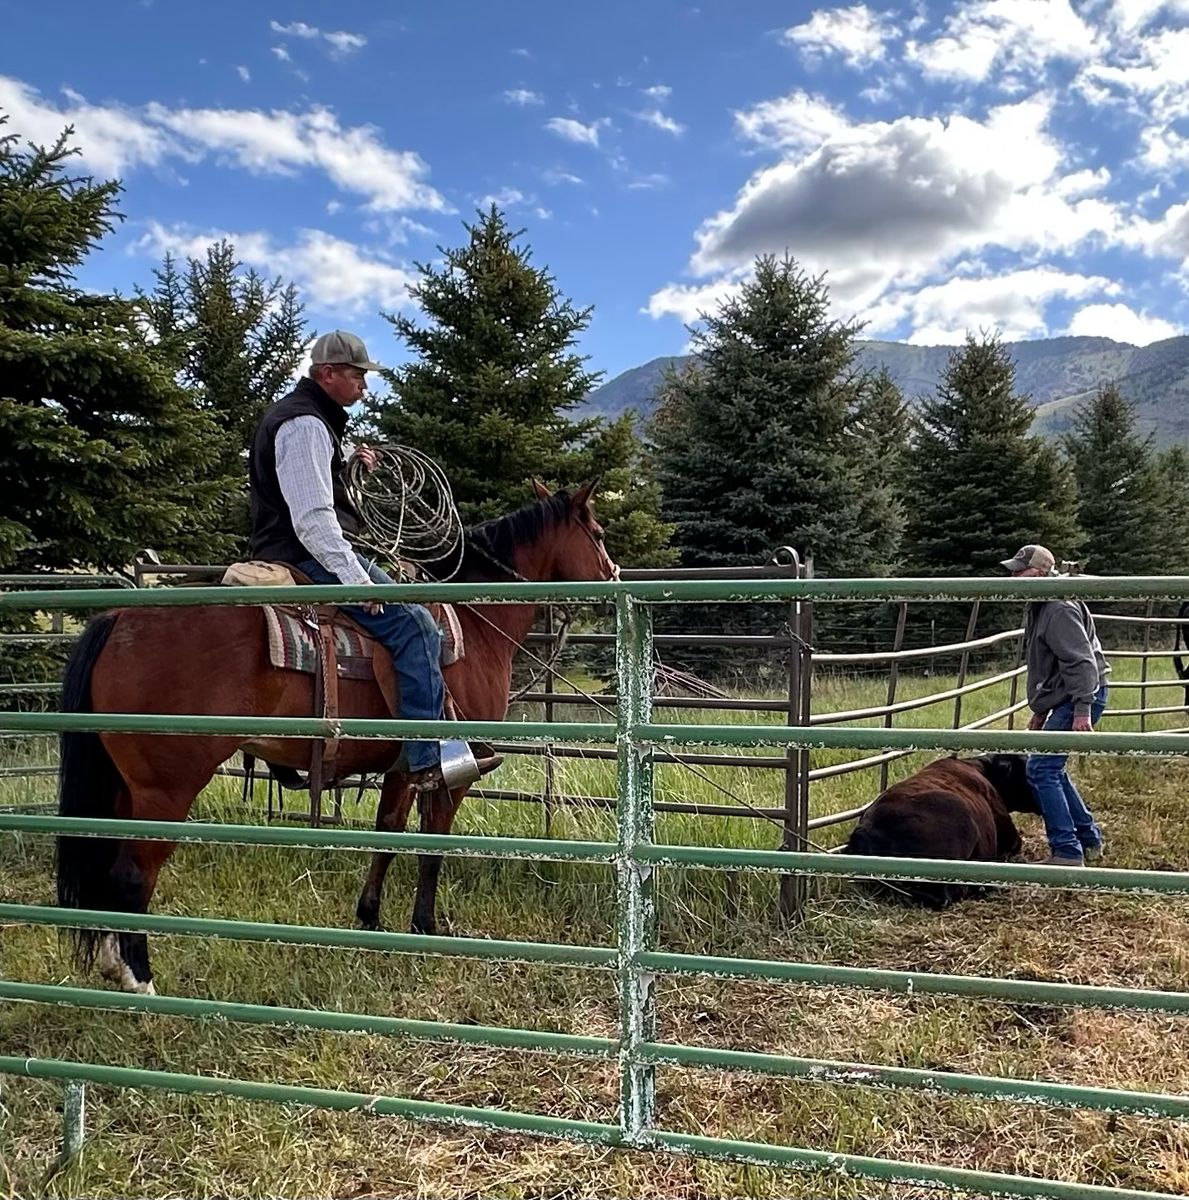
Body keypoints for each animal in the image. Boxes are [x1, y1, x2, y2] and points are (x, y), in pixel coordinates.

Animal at [55, 481, 619, 994]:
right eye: (597, 533)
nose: (613, 576)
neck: (472, 626)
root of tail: (119, 617)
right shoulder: (452, 775)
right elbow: (431, 846)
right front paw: (426, 927)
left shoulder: (404, 769)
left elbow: (388, 834)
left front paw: (371, 917)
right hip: (166, 788)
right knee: (132, 874)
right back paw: (140, 979)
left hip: (126, 785)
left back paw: (112, 961)